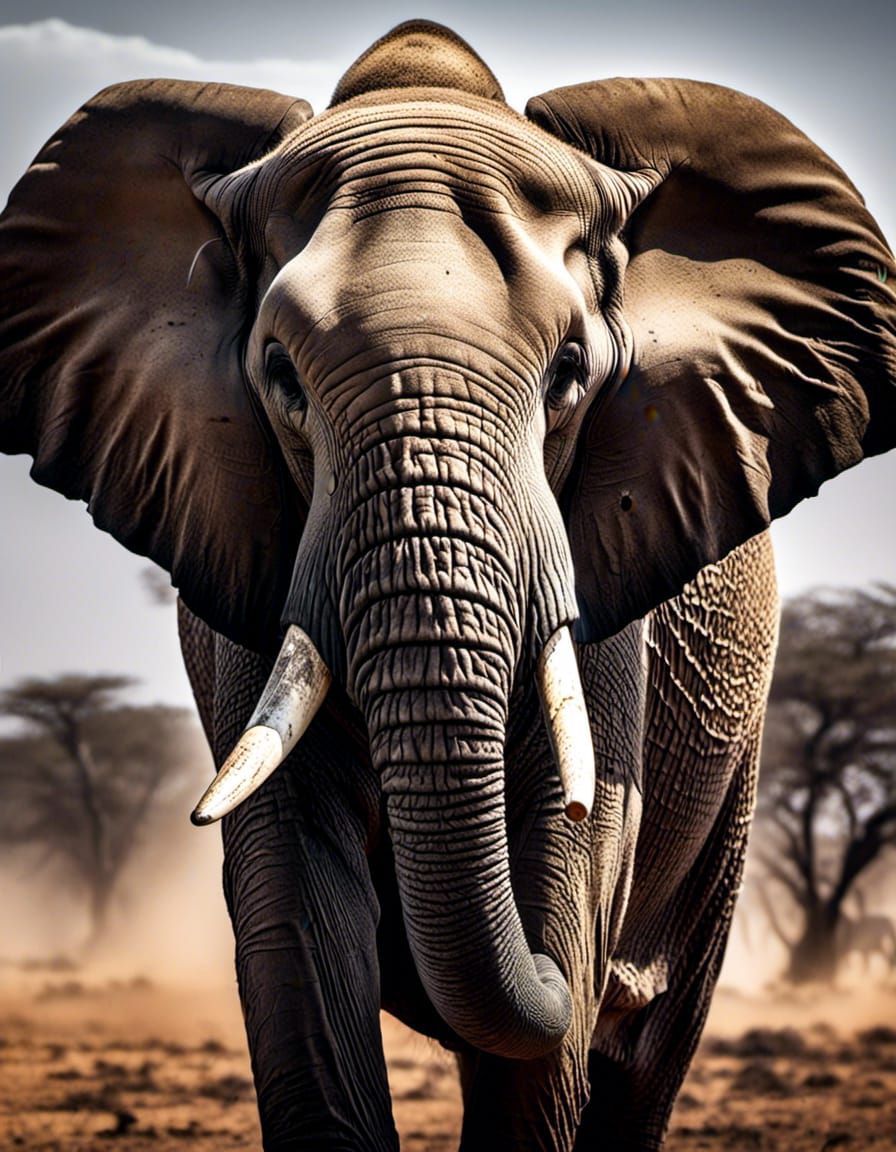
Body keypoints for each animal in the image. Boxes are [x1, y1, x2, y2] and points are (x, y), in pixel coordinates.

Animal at [1, 18, 895, 1152]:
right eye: (280, 375)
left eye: (570, 372)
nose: (589, 980)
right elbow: (296, 911)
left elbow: (560, 877)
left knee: (650, 1052)